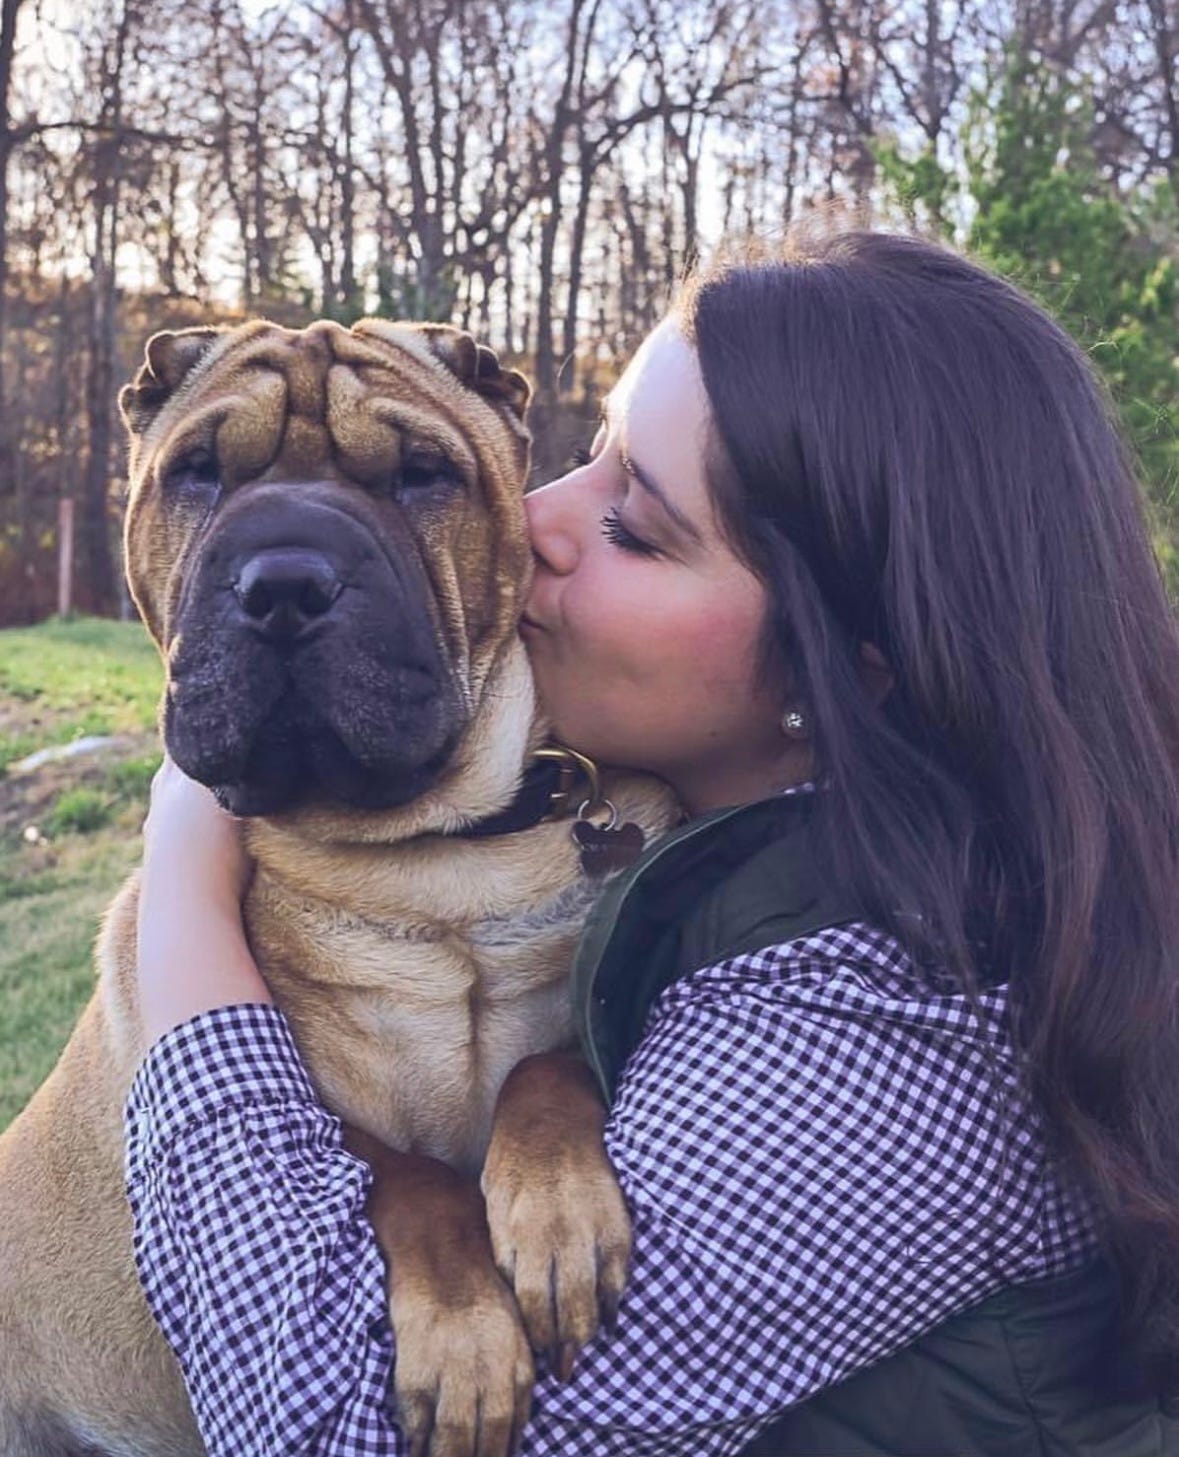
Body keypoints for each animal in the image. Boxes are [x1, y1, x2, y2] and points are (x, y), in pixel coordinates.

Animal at [0, 321, 670, 1457]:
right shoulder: (296, 1095)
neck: (433, 859)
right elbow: (407, 1175)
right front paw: (465, 1339)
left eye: (422, 473)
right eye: (198, 471)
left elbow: (546, 1070)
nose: (284, 582)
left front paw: (560, 1214)